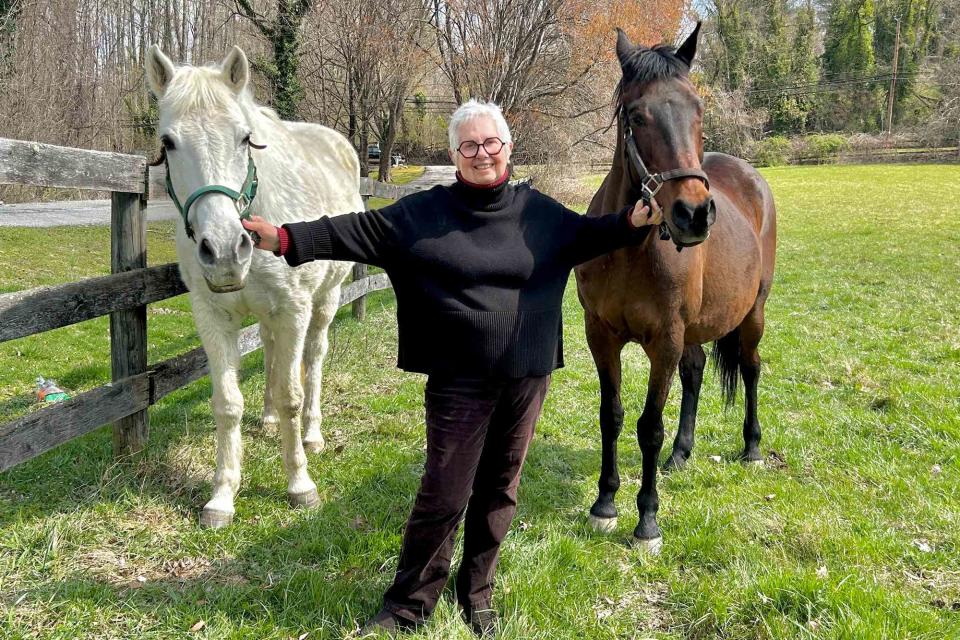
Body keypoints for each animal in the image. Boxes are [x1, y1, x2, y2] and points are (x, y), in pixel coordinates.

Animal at [146, 43, 360, 524]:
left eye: (245, 138)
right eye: (167, 143)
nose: (225, 249)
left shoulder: (295, 309)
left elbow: (291, 394)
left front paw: (299, 484)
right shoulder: (212, 316)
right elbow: (228, 403)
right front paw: (222, 495)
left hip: (326, 300)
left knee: (313, 358)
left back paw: (312, 434)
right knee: (270, 353)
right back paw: (266, 419)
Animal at [572, 25, 776, 552]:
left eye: (697, 109)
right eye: (636, 114)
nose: (694, 213)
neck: (630, 249)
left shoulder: (664, 340)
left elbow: (649, 427)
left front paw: (647, 521)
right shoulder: (601, 336)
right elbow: (612, 415)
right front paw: (604, 504)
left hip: (753, 314)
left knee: (750, 369)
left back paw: (752, 447)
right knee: (697, 371)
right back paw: (682, 454)